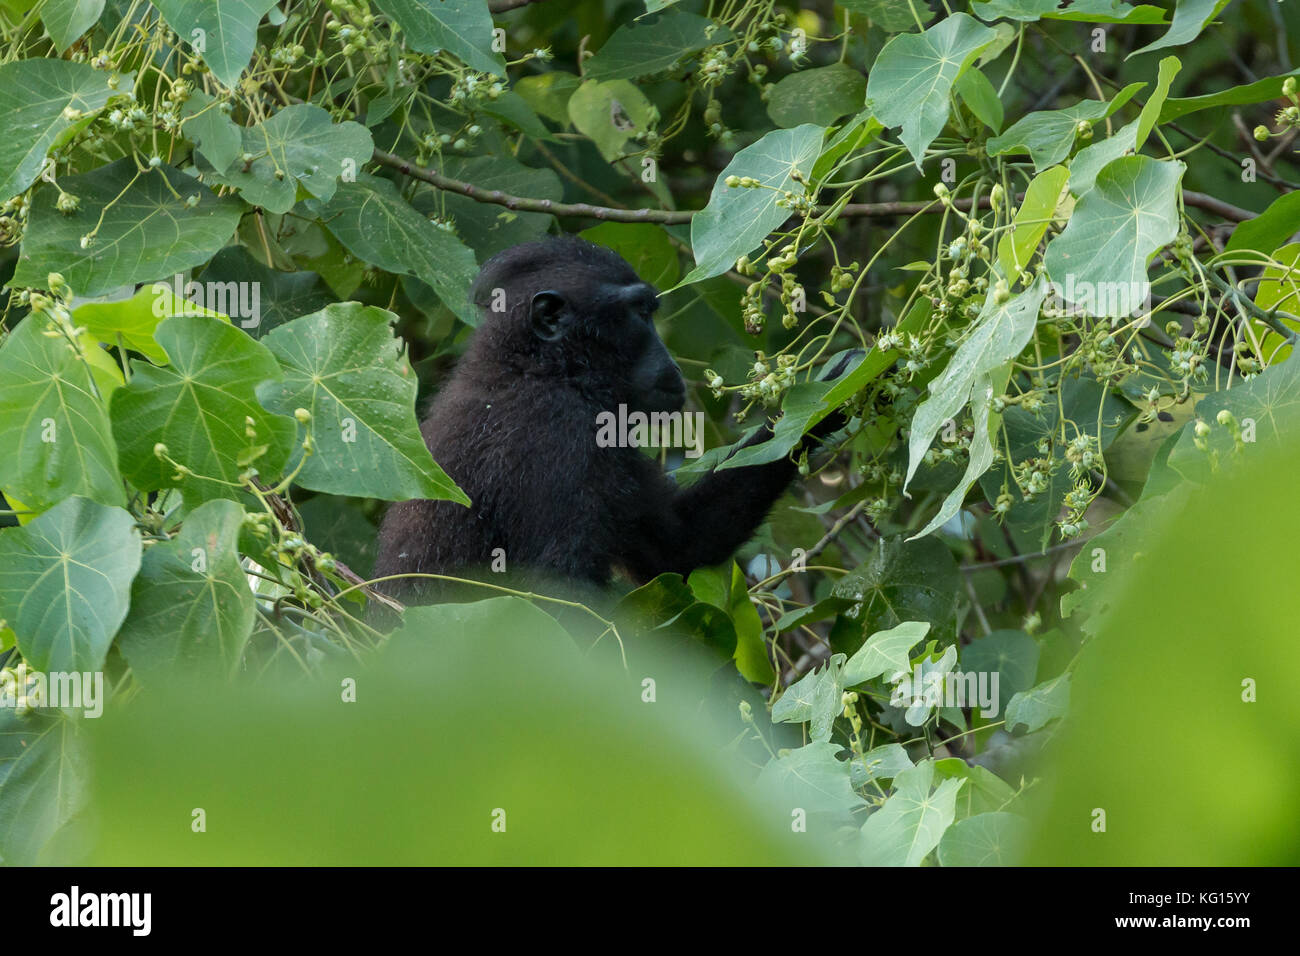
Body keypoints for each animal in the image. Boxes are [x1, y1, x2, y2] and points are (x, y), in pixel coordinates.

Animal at [374, 236, 850, 600]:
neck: (542, 369)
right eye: (640, 314)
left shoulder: (612, 449)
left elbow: (681, 546)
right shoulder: (558, 432)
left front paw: (834, 392)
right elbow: (557, 590)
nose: (671, 363)